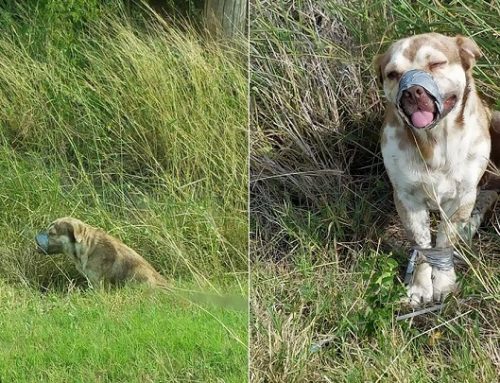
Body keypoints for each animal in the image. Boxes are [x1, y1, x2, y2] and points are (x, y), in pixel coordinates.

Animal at [376, 33, 498, 308]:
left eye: (437, 64)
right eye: (393, 74)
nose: (412, 91)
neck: (435, 141)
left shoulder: (461, 196)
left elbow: (443, 239)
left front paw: (443, 282)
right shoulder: (407, 199)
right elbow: (423, 244)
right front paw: (420, 285)